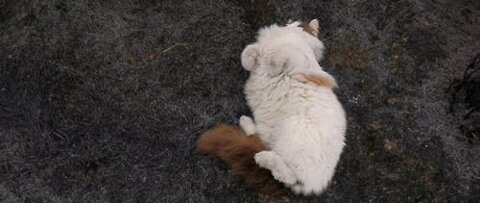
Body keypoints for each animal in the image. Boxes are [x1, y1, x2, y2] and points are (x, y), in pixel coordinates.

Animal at [239, 19, 344, 196]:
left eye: (300, 25)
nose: (289, 24)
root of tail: (316, 184)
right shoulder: (258, 52)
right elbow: (247, 54)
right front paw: (255, 57)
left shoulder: (299, 62)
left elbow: (280, 57)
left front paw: (272, 67)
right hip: (274, 134)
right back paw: (246, 123)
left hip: (294, 127)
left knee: (289, 176)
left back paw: (263, 158)